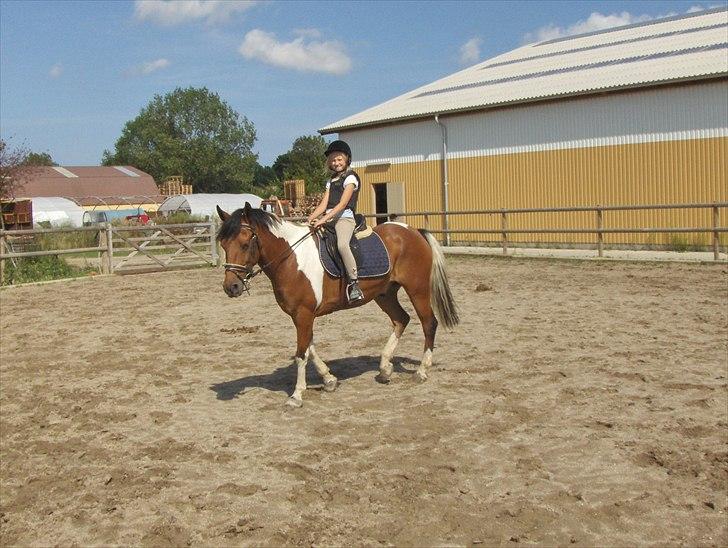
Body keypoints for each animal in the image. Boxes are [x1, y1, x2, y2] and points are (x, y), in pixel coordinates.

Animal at [216, 202, 459, 408]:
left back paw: (421, 371)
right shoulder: (301, 316)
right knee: (401, 319)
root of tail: (413, 231)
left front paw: (296, 395)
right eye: (224, 244)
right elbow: (310, 348)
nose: (231, 287)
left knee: (428, 323)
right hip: (385, 294)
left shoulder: (303, 314)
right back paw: (384, 369)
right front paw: (329, 380)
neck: (290, 258)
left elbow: (301, 354)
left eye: (245, 244)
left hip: (417, 290)